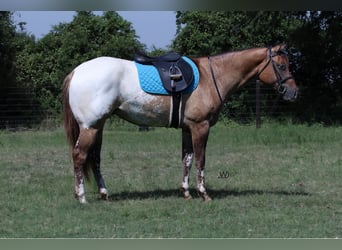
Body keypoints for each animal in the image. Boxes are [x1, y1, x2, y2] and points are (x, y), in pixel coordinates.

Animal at [62, 43, 298, 203]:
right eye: (281, 66)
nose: (294, 92)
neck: (211, 76)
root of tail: (75, 72)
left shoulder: (187, 128)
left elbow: (187, 159)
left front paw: (185, 192)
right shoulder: (200, 126)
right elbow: (201, 159)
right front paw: (204, 193)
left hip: (98, 127)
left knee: (95, 159)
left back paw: (104, 193)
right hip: (90, 127)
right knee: (79, 156)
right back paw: (81, 196)